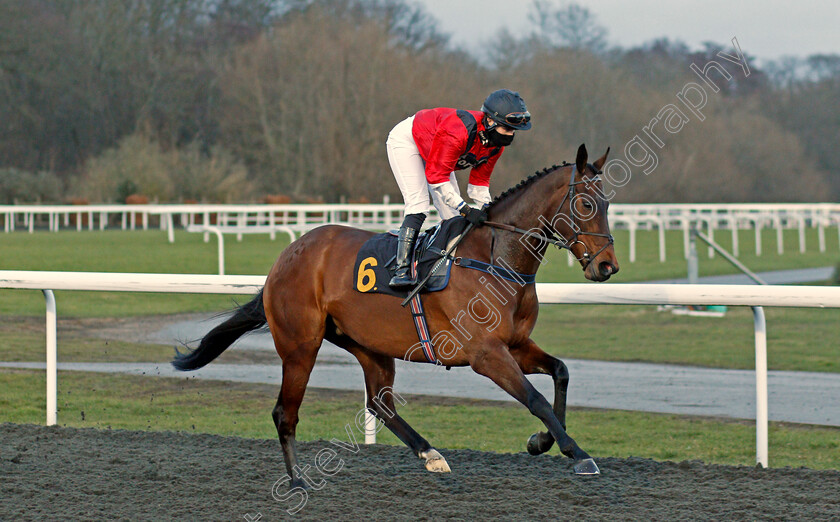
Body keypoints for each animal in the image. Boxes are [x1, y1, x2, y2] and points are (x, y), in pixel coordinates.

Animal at [174, 143, 616, 484]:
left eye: (609, 204)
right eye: (585, 203)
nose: (607, 266)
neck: (496, 259)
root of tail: (285, 258)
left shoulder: (517, 343)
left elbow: (560, 372)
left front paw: (543, 441)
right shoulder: (486, 354)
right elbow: (536, 398)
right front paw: (578, 453)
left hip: (366, 344)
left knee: (379, 404)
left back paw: (430, 453)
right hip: (300, 346)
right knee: (286, 412)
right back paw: (297, 480)